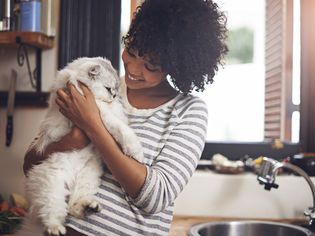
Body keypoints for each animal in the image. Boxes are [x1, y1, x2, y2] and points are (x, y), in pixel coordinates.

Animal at [13, 57, 144, 236]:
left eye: (116, 89)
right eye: (108, 88)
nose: (114, 95)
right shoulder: (100, 113)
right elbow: (122, 129)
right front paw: (136, 152)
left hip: (88, 177)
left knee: (73, 206)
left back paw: (89, 207)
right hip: (52, 185)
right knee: (52, 212)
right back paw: (55, 229)